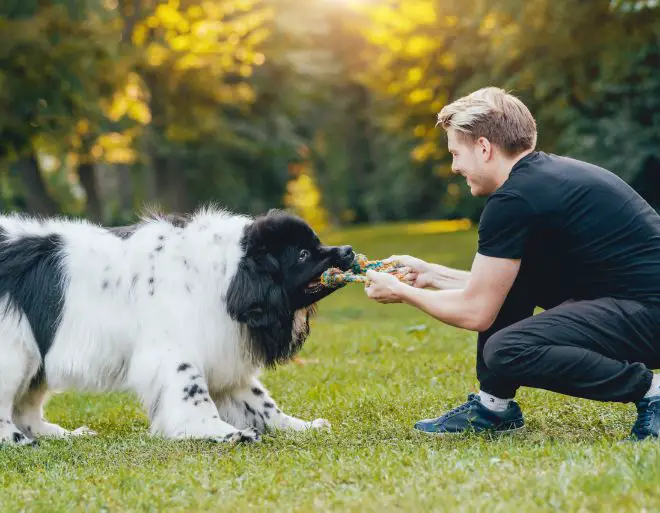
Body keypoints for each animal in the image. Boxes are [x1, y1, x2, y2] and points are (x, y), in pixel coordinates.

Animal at [0, 206, 356, 442]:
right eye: (303, 254)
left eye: (317, 242)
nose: (349, 250)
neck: (225, 277)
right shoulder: (174, 353)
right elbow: (194, 393)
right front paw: (223, 433)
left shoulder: (220, 349)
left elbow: (260, 402)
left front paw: (299, 426)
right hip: (15, 351)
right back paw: (17, 441)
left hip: (34, 352)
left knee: (28, 407)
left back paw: (60, 434)